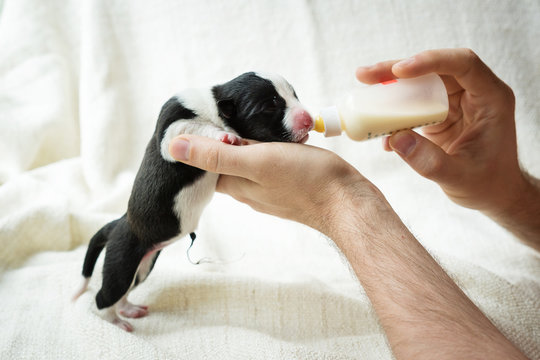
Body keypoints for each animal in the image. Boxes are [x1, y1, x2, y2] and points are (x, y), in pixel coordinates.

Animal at [74, 72, 314, 332]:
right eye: (270, 106)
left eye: (294, 95)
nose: (309, 120)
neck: (215, 103)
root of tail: (118, 223)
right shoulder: (171, 131)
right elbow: (196, 126)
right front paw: (224, 136)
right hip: (122, 259)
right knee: (105, 296)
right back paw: (116, 322)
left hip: (144, 265)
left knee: (125, 292)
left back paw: (128, 309)